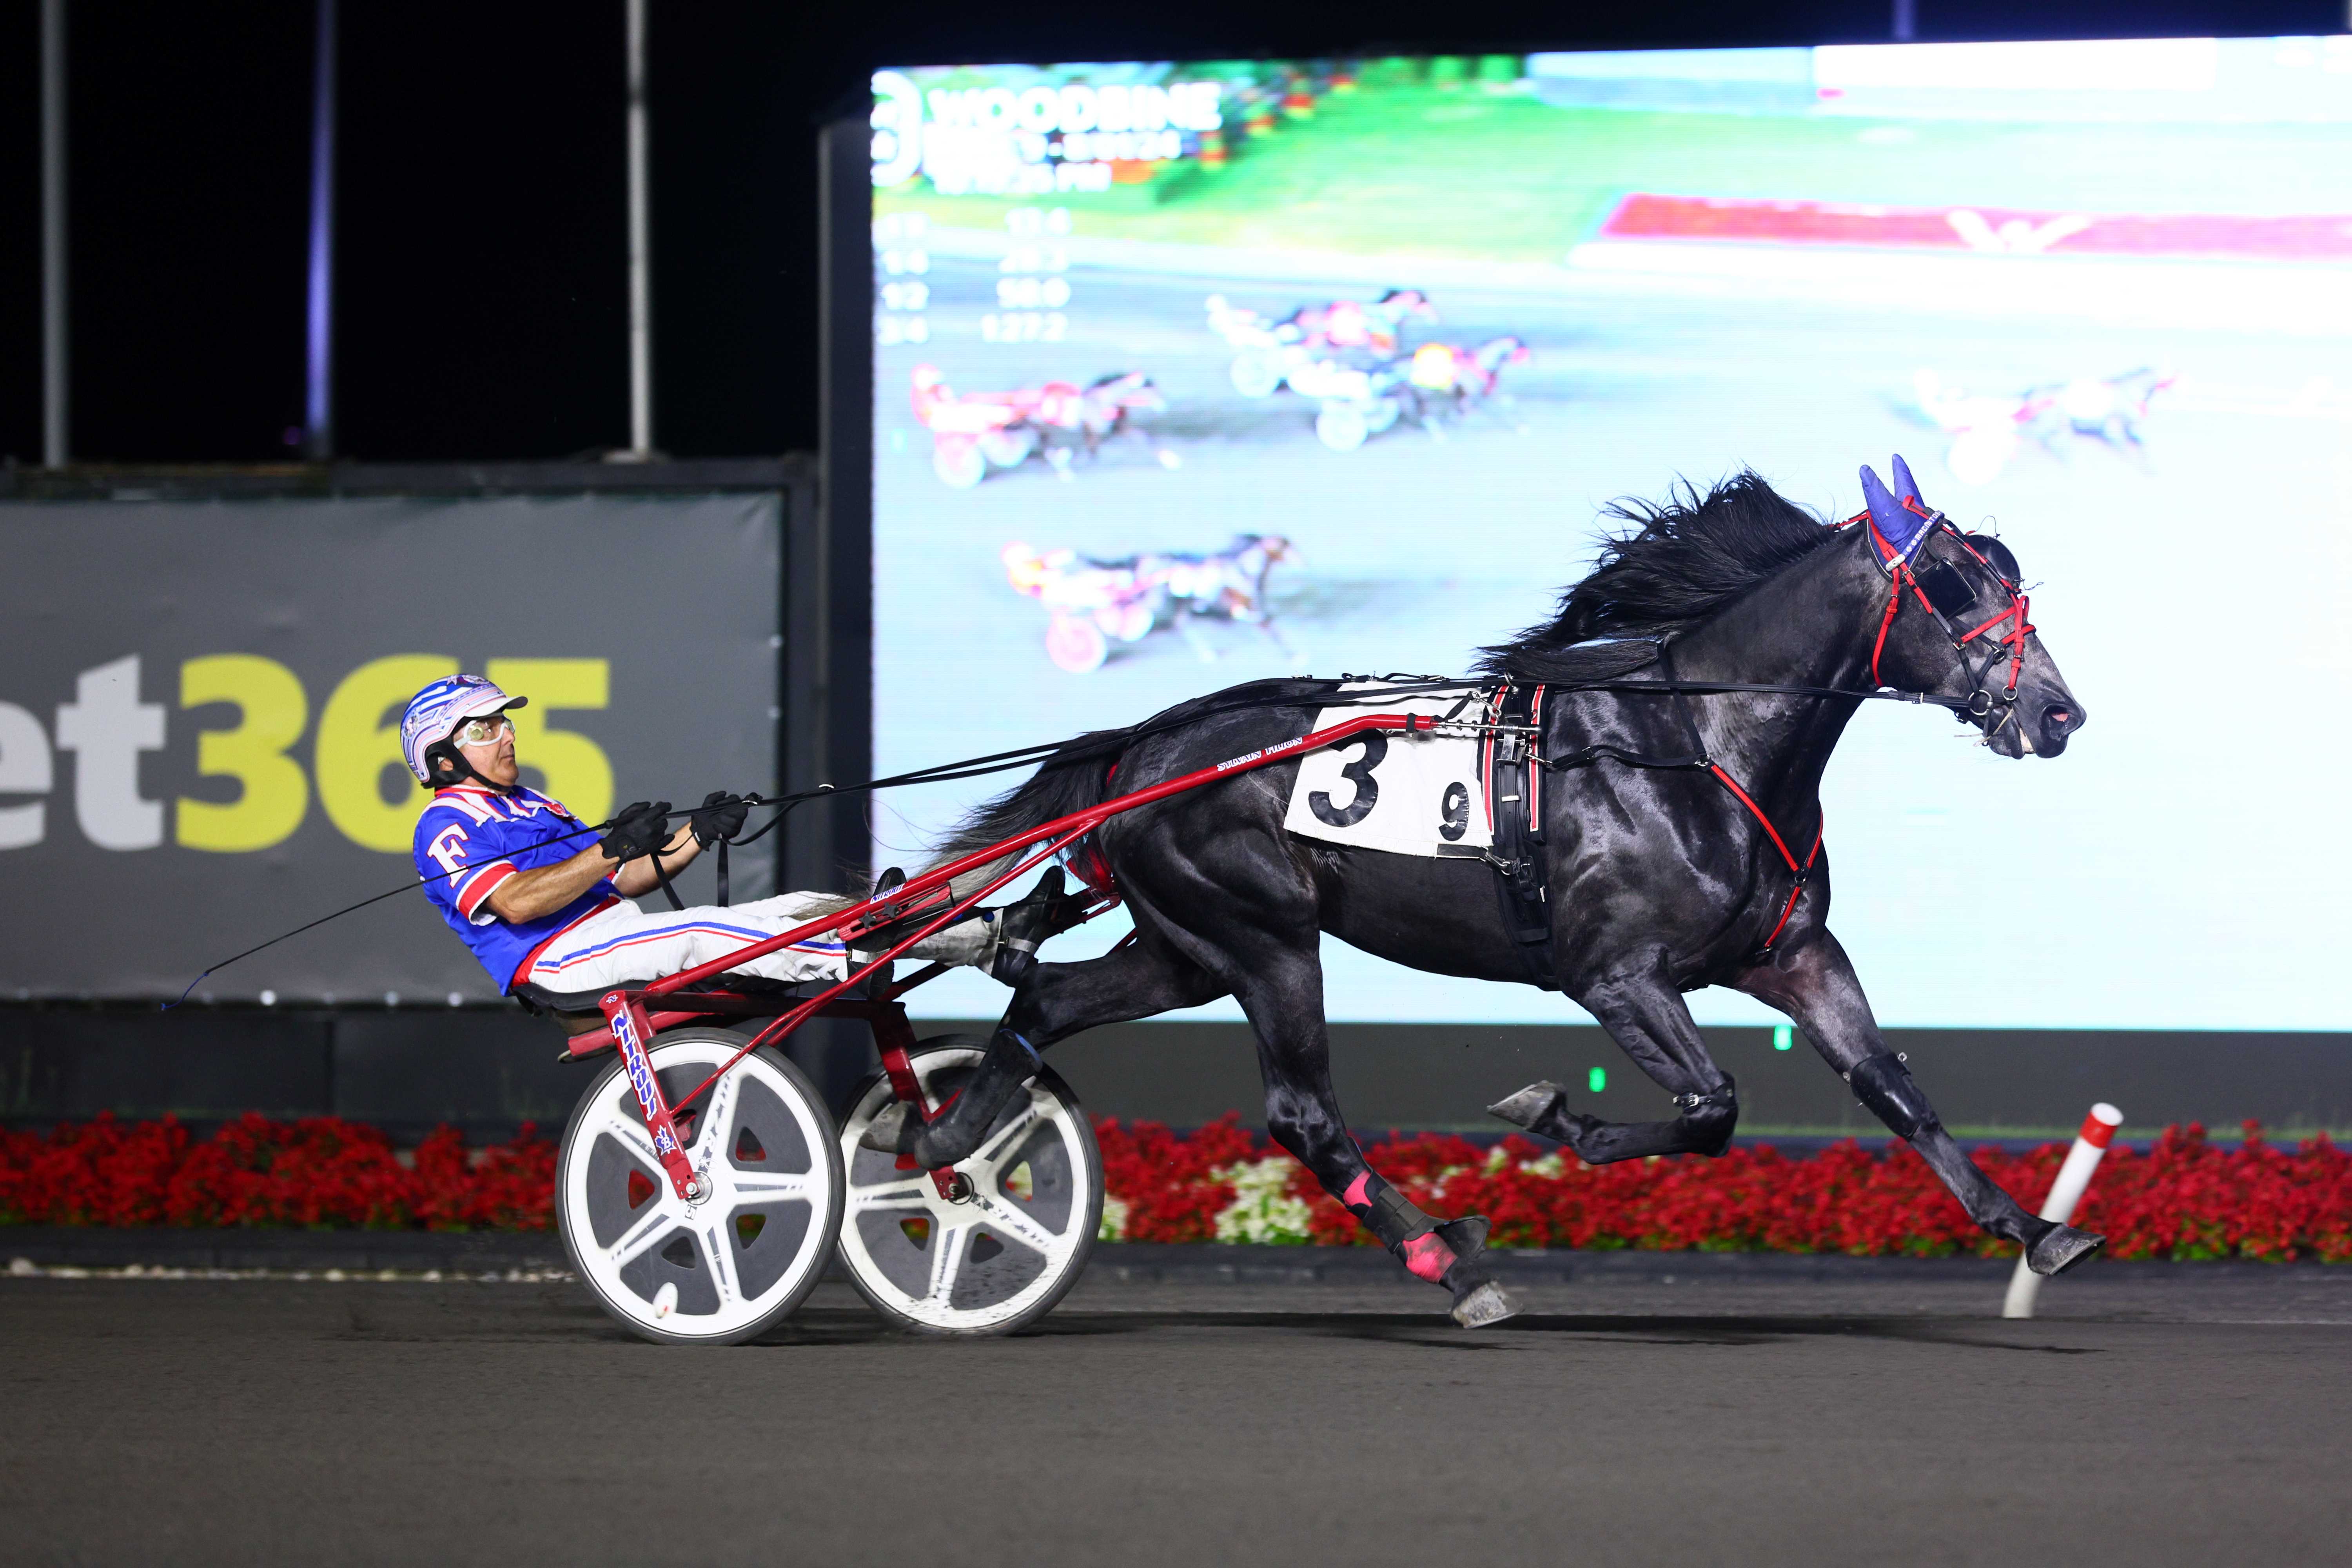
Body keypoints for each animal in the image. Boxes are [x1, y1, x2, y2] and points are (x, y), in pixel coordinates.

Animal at [875, 461, 2107, 1335]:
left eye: (2013, 580)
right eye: (1953, 585)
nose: (2058, 713)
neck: (1700, 746)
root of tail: (1143, 744)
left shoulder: (1792, 953)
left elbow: (1893, 1086)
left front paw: (2036, 1228)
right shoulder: (1616, 975)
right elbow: (1710, 1105)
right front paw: (1558, 1118)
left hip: (1185, 946)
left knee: (1045, 1006)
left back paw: (944, 1146)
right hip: (1265, 939)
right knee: (1302, 1111)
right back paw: (1446, 1262)